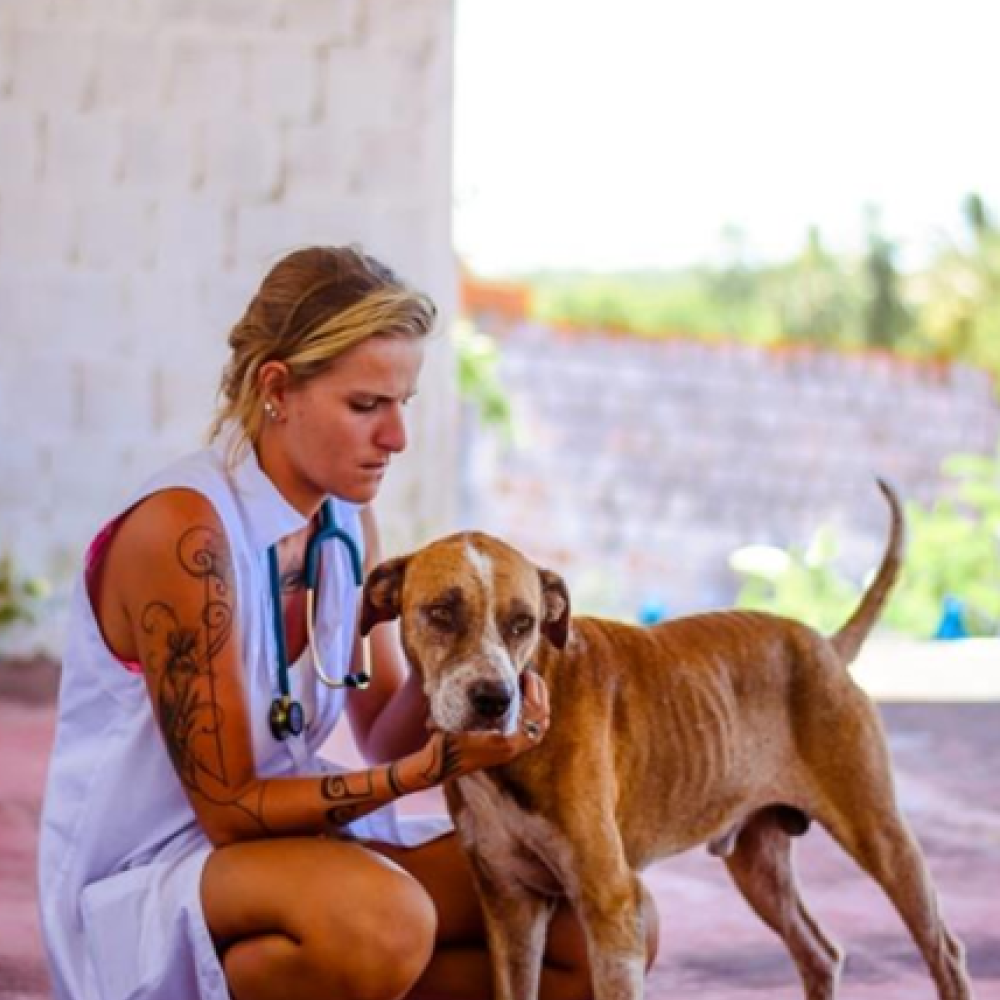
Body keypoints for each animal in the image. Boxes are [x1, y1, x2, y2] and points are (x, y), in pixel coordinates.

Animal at [359, 481, 972, 1000]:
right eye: (441, 612)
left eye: (523, 623)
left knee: (945, 951)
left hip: (883, 839)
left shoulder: (612, 908)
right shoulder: (511, 906)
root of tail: (823, 642)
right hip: (759, 865)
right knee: (820, 954)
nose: (494, 698)